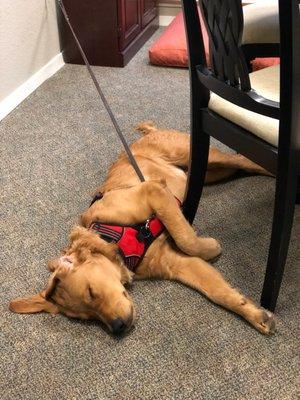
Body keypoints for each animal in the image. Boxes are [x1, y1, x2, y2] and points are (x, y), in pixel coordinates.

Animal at [9, 122, 276, 334]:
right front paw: (254, 314)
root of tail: (149, 132)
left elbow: (186, 237)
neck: (110, 238)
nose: (117, 327)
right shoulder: (176, 264)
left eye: (91, 292)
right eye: (86, 316)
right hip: (209, 172)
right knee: (241, 165)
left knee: (244, 159)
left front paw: (210, 247)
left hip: (200, 155)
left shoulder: (153, 191)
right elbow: (217, 290)